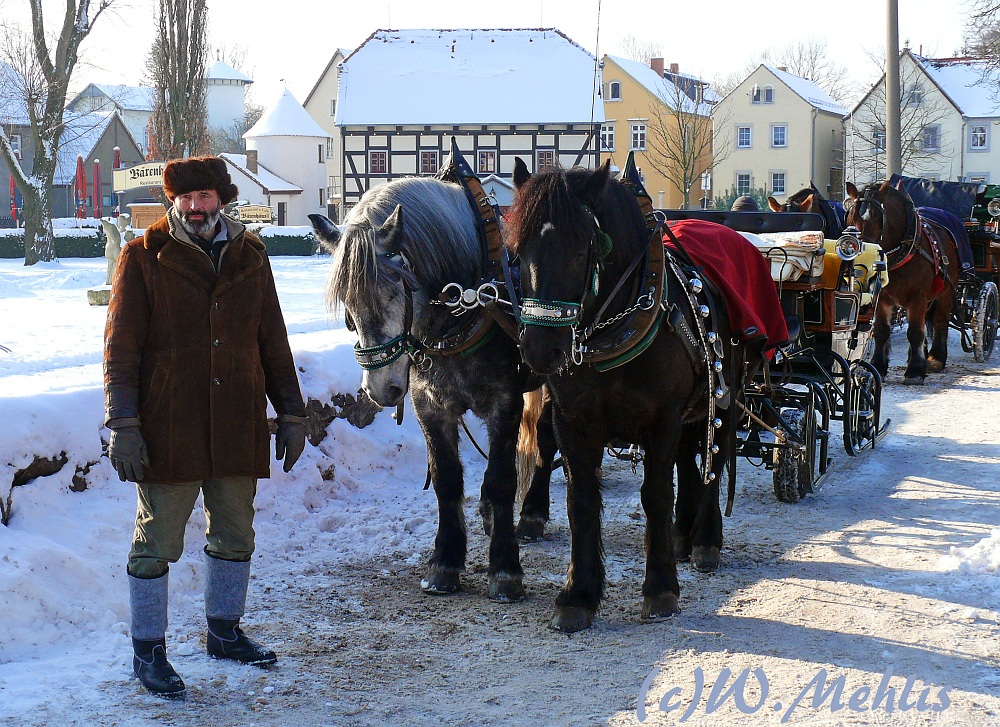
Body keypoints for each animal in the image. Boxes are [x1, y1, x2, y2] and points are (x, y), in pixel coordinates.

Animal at [848, 182, 956, 384]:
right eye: (851, 215)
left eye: (878, 217)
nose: (861, 256)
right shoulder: (881, 297)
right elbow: (882, 331)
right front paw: (879, 366)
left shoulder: (918, 297)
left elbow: (915, 332)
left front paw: (915, 371)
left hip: (945, 294)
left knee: (940, 321)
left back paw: (936, 359)